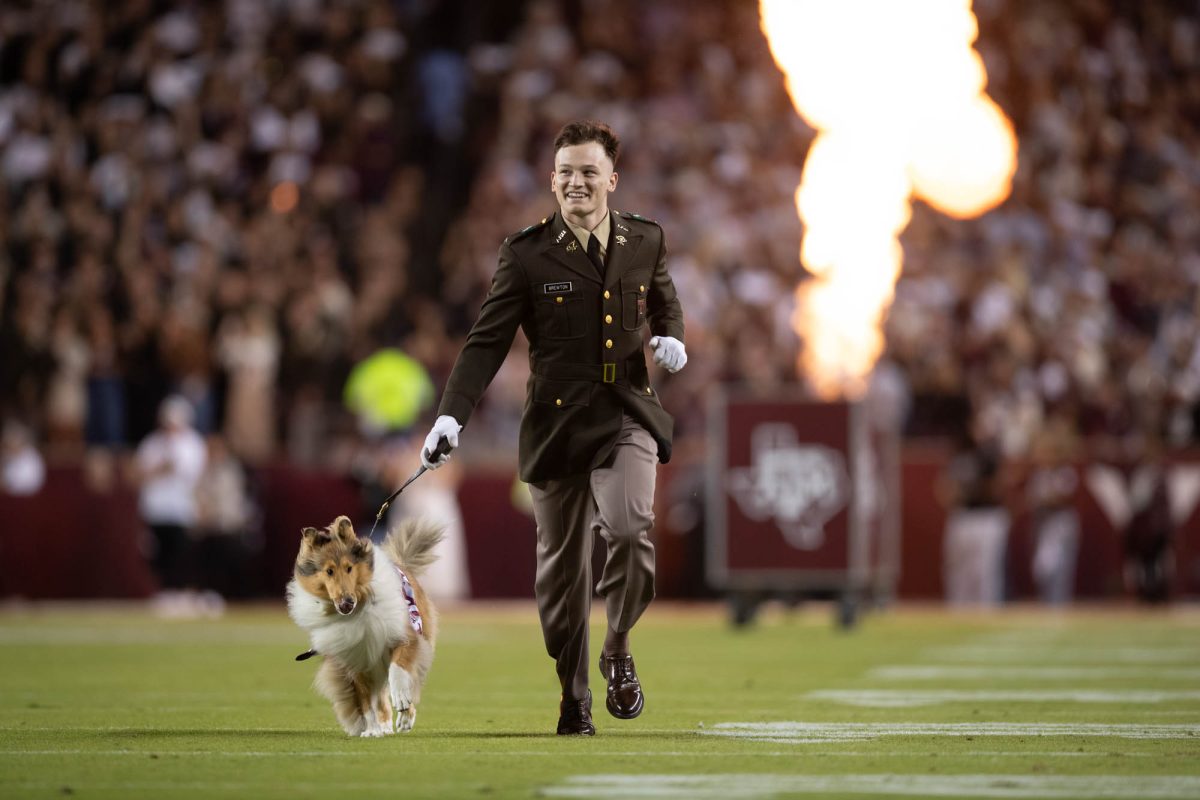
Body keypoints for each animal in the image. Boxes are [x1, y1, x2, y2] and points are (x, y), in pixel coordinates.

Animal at [286, 515, 446, 734]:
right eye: (329, 571)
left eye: (349, 568)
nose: (347, 602)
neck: (359, 609)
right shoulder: (356, 661)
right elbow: (365, 701)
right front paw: (371, 730)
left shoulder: (406, 636)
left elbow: (399, 668)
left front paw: (401, 699)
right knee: (378, 697)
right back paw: (384, 725)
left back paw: (404, 718)